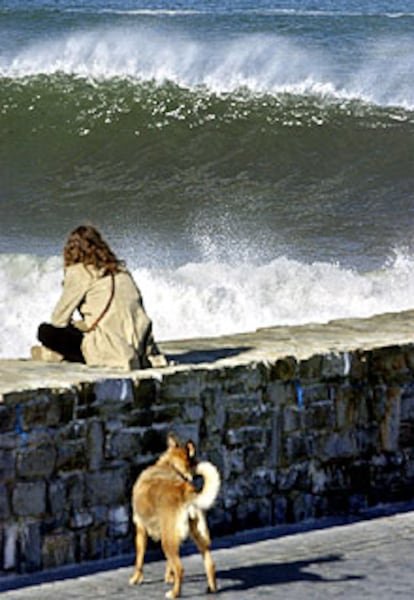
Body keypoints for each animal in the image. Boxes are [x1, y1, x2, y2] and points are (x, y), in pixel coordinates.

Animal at [129, 434, 222, 596]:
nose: (197, 464)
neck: (170, 466)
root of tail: (185, 492)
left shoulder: (141, 529)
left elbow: (139, 560)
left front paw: (136, 579)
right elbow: (168, 565)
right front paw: (168, 577)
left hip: (167, 542)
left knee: (180, 569)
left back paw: (174, 593)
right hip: (197, 538)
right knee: (210, 564)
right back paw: (212, 588)